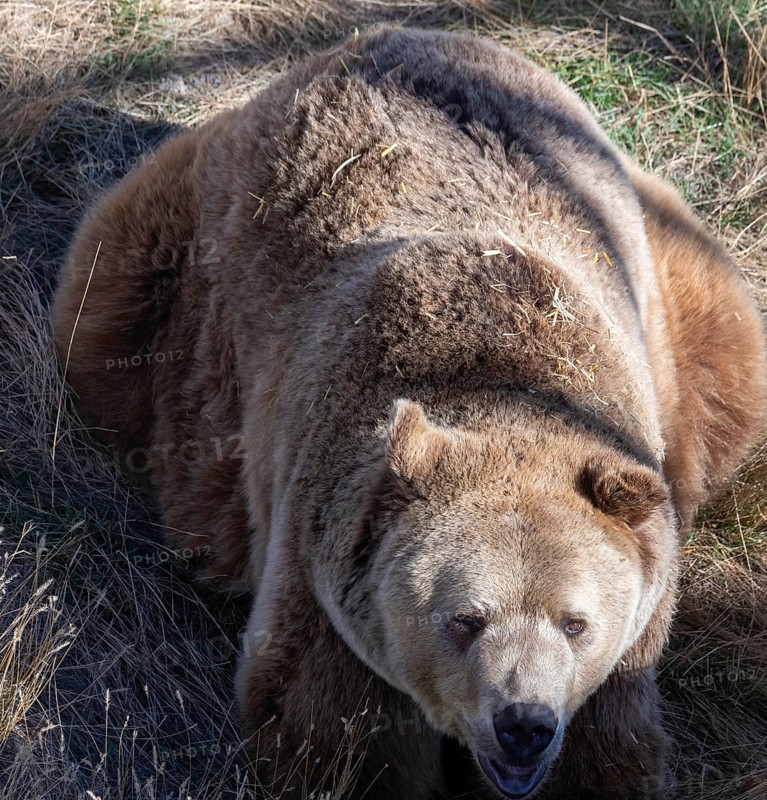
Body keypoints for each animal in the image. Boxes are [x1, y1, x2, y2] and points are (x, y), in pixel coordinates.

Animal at [51, 26, 767, 800]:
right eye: (465, 619)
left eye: (575, 622)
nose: (523, 723)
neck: (505, 382)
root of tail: (385, 34)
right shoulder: (327, 571)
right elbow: (331, 728)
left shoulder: (632, 623)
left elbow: (605, 742)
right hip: (175, 268)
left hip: (672, 273)